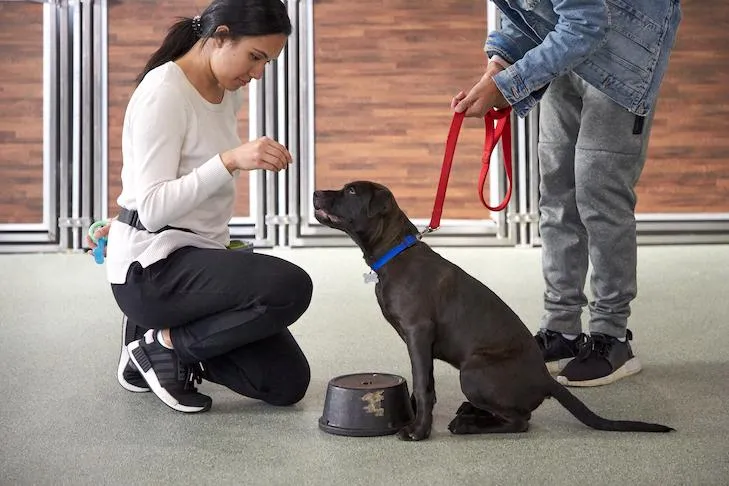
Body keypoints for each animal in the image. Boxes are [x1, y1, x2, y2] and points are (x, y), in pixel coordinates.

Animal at [312, 181, 672, 440]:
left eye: (351, 191)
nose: (315, 192)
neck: (395, 253)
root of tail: (547, 381)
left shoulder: (418, 332)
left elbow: (423, 386)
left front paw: (418, 430)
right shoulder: (418, 344)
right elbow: (423, 382)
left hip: (473, 371)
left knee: (520, 421)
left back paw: (468, 425)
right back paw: (468, 413)